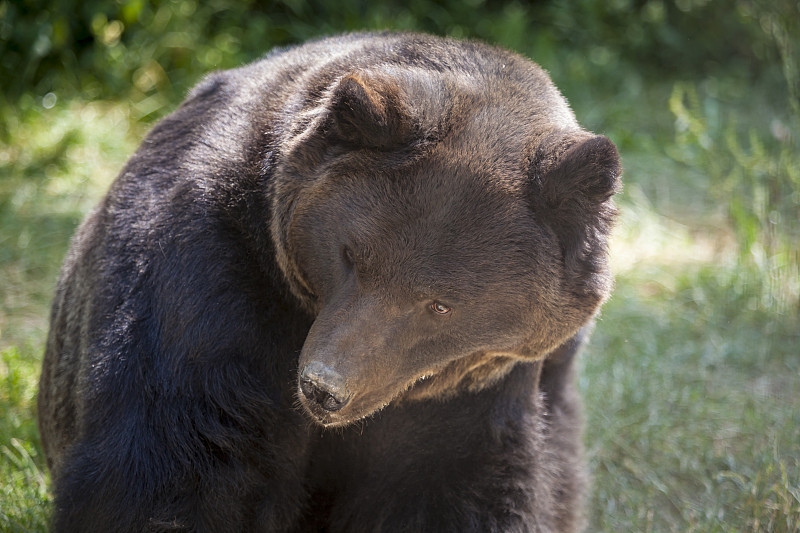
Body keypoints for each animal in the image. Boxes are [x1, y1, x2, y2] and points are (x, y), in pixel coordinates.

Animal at [37, 31, 620, 528]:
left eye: (440, 304)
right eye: (351, 256)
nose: (325, 388)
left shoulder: (477, 391)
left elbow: (460, 487)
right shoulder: (210, 274)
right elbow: (183, 450)